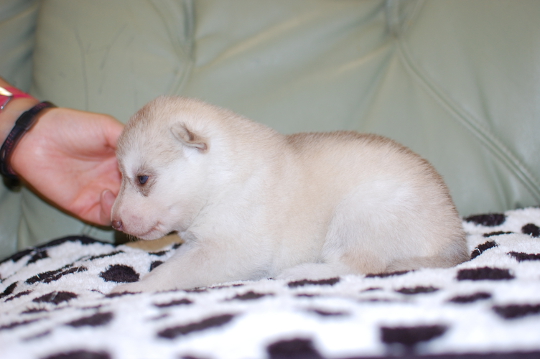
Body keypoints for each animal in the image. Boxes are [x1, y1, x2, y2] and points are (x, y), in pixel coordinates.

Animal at [110, 97, 468, 294]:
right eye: (121, 176)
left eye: (142, 178)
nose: (113, 222)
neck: (218, 180)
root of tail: (455, 239)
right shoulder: (201, 243)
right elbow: (177, 261)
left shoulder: (234, 250)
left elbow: (175, 270)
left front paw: (138, 287)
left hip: (362, 211)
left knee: (357, 266)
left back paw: (302, 272)